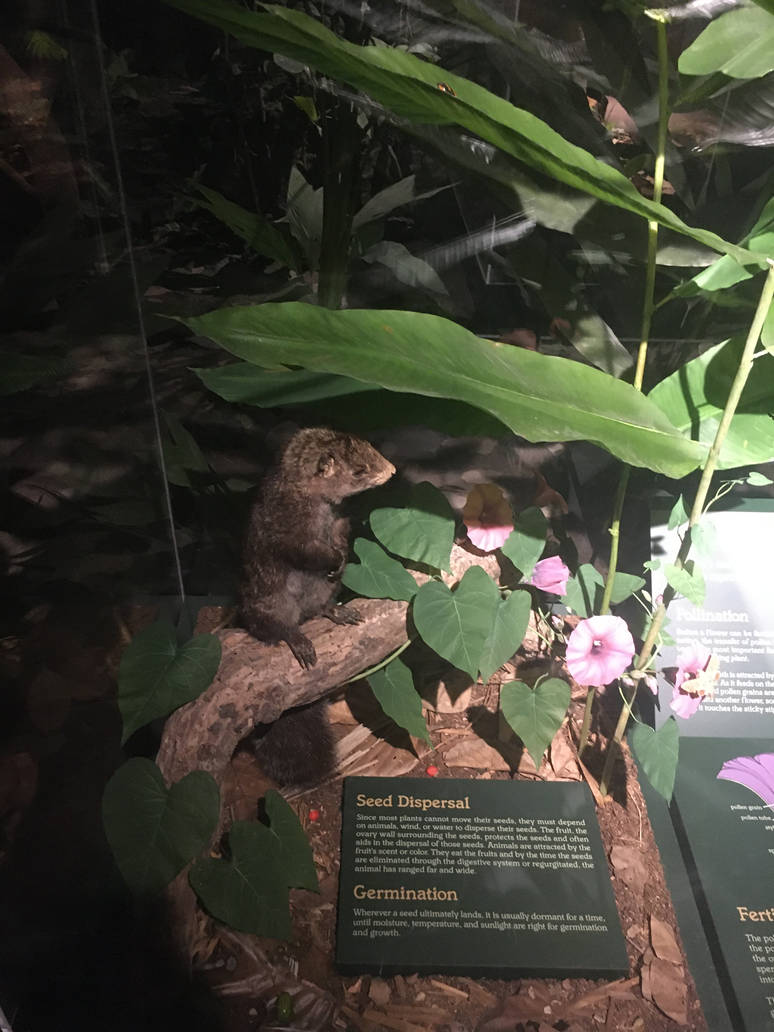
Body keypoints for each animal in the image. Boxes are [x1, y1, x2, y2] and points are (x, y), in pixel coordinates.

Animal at [240, 427, 395, 669]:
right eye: (359, 470)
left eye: (372, 448)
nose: (393, 471)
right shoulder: (294, 536)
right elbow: (310, 551)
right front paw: (337, 560)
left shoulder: (340, 521)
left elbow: (340, 540)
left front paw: (341, 561)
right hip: (271, 604)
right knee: (281, 627)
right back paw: (299, 640)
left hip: (326, 588)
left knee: (320, 608)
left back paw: (338, 611)